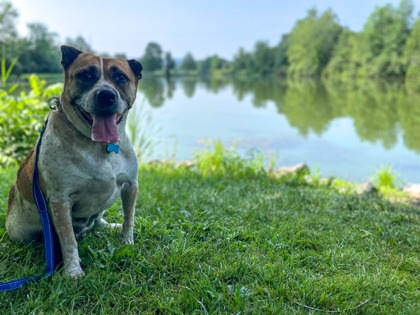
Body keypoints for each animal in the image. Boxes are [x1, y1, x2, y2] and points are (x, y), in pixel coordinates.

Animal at [6, 45, 143, 278]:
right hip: (20, 231)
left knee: (97, 220)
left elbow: (129, 219)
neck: (100, 147)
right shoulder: (60, 201)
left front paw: (127, 243)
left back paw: (106, 225)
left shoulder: (130, 186)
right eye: (86, 75)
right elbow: (68, 240)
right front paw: (73, 272)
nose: (106, 95)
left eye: (121, 77)